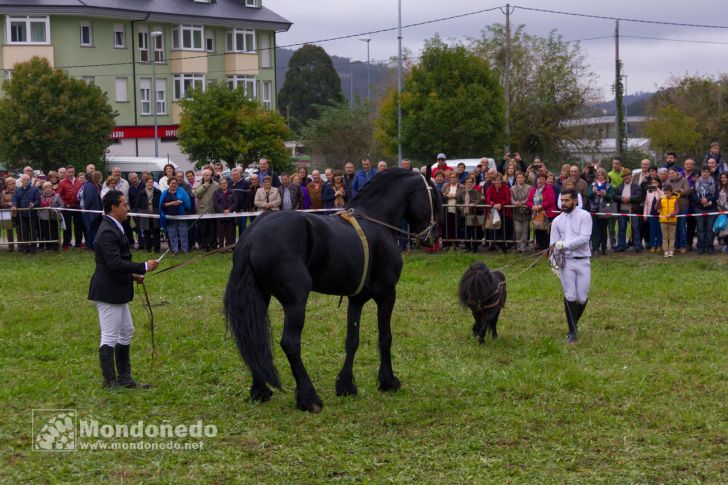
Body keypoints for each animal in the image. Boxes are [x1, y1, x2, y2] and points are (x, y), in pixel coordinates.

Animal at [223, 168, 438, 410]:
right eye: (432, 195)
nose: (430, 238)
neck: (377, 222)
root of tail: (251, 238)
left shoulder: (357, 299)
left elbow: (352, 340)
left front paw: (346, 385)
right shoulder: (387, 295)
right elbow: (385, 337)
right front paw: (388, 381)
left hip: (261, 297)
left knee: (253, 340)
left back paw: (260, 390)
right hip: (296, 301)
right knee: (290, 343)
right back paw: (309, 397)